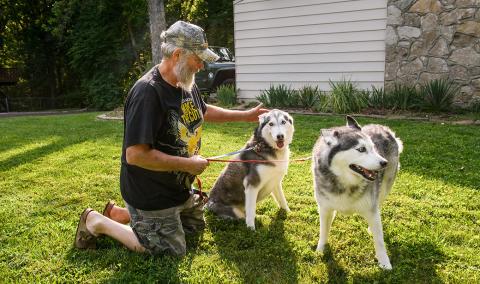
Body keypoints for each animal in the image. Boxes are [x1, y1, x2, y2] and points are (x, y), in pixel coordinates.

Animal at [314, 115, 404, 268]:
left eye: (373, 148)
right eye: (361, 149)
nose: (384, 163)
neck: (345, 182)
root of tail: (383, 128)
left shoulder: (371, 210)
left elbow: (379, 240)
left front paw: (384, 262)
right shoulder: (325, 208)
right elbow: (323, 231)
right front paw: (320, 250)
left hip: (384, 189)